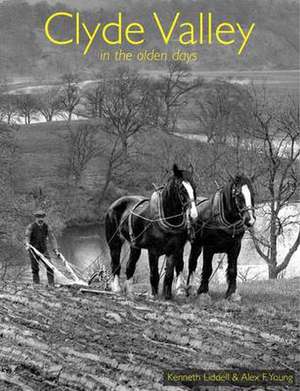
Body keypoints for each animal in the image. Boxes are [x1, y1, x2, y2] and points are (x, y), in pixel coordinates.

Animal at [104, 165, 198, 300]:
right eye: (181, 188)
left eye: (194, 187)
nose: (193, 215)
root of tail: (115, 203)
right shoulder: (153, 251)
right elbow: (154, 274)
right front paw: (153, 295)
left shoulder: (173, 250)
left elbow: (169, 275)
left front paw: (167, 295)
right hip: (115, 242)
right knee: (115, 264)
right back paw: (116, 288)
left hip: (135, 246)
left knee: (130, 266)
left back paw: (129, 291)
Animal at [183, 175, 255, 304]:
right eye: (239, 195)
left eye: (252, 194)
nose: (250, 220)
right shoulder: (209, 247)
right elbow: (207, 269)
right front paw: (203, 292)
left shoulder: (236, 247)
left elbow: (232, 269)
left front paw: (232, 293)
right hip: (195, 244)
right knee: (191, 263)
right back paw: (188, 289)